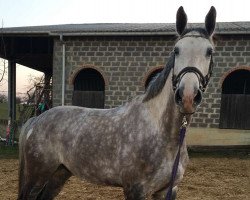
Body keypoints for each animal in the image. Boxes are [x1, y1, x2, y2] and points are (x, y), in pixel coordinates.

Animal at [18, 6, 217, 200]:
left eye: (210, 51)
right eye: (176, 50)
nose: (187, 96)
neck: (162, 133)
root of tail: (36, 120)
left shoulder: (168, 189)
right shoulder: (135, 190)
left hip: (59, 174)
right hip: (37, 176)